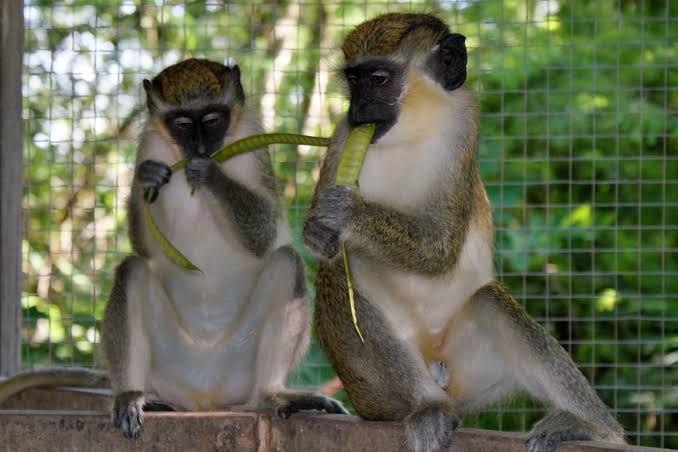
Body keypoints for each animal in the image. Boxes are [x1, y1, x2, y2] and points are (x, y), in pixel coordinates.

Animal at [0, 58, 345, 439]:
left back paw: (273, 395)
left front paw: (210, 174)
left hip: (239, 369)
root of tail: (204, 398)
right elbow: (145, 247)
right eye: (182, 124)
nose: (199, 148)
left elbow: (265, 235)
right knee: (132, 270)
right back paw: (133, 396)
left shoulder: (251, 142)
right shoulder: (151, 144)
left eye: (212, 119)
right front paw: (146, 180)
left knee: (286, 261)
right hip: (168, 369)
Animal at [302, 13, 624, 452]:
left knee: (491, 301)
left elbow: (440, 249)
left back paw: (597, 428)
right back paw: (428, 407)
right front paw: (317, 234)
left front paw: (348, 212)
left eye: (379, 79)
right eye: (354, 80)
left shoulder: (462, 130)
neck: (414, 127)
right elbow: (332, 253)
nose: (357, 109)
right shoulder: (342, 139)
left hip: (472, 370)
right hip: (385, 390)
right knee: (340, 274)